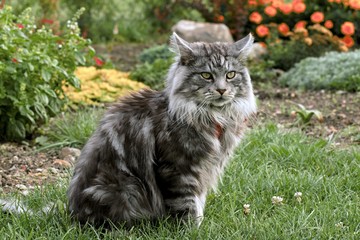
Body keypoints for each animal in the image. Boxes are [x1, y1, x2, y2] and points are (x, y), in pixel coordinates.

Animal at [67, 32, 258, 228]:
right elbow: (187, 205)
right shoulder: (179, 168)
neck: (214, 117)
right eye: (206, 75)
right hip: (126, 187)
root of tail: (74, 215)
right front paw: (192, 229)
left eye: (230, 75)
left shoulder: (204, 169)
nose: (221, 90)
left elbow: (198, 202)